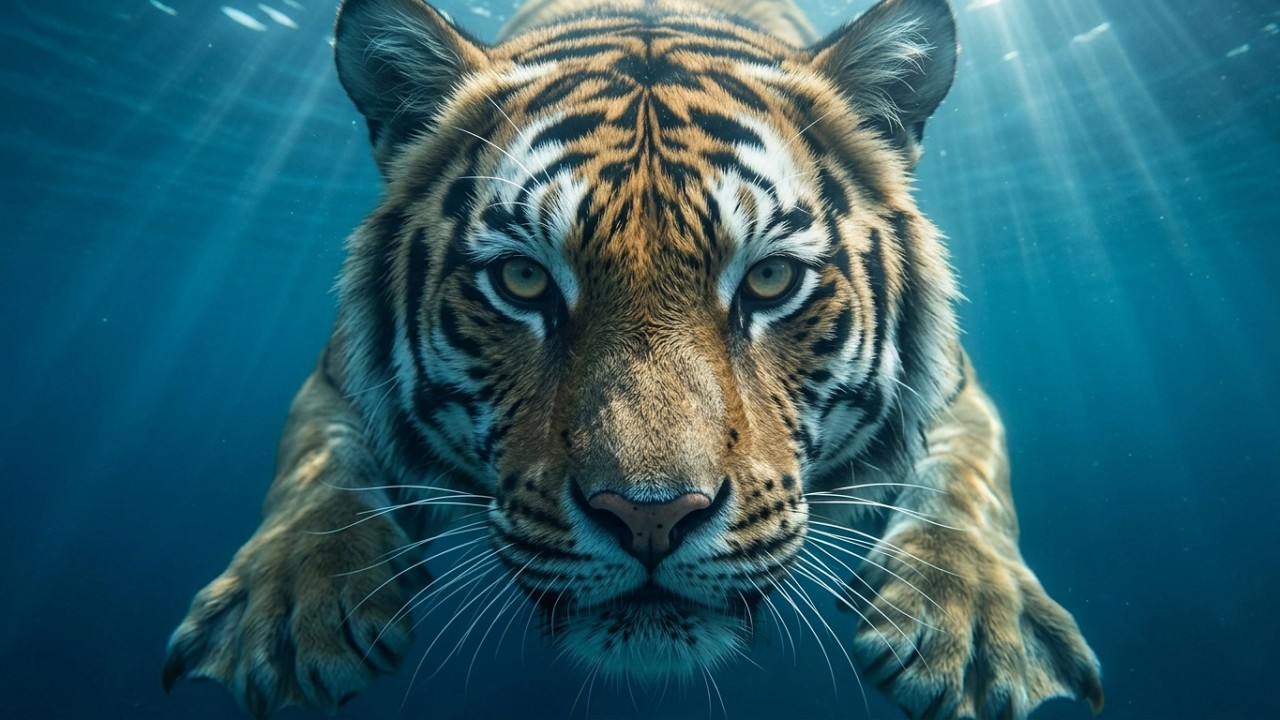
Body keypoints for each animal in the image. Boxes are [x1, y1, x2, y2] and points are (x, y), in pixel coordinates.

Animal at [162, 0, 1105, 717]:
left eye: (768, 279)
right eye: (521, 279)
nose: (650, 516)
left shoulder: (956, 393)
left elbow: (969, 483)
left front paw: (971, 630)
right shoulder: (334, 381)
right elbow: (317, 469)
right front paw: (288, 611)